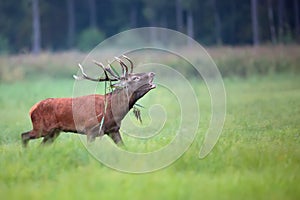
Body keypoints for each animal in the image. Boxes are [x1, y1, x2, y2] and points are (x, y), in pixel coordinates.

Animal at [21, 55, 156, 147]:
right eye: (135, 78)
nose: (152, 73)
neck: (113, 111)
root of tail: (31, 109)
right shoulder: (90, 130)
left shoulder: (113, 130)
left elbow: (123, 146)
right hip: (42, 127)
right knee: (24, 135)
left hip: (53, 132)